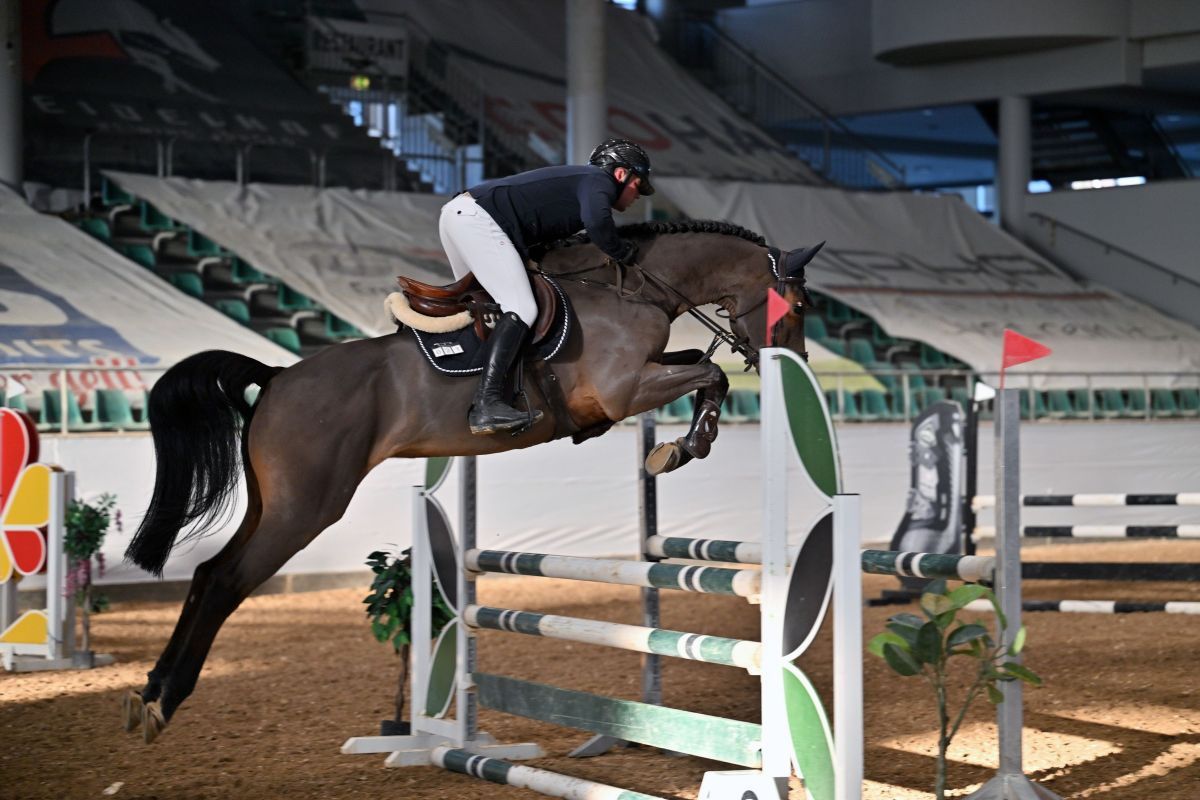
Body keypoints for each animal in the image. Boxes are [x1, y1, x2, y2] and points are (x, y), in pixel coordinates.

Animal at [120, 219, 816, 743]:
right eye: (799, 305)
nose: (794, 364)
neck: (633, 287)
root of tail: (277, 375)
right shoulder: (625, 390)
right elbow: (709, 372)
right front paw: (683, 445)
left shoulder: (643, 376)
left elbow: (699, 364)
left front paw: (679, 444)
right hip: (306, 509)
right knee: (226, 581)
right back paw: (165, 700)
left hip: (272, 505)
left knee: (207, 573)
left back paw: (149, 694)